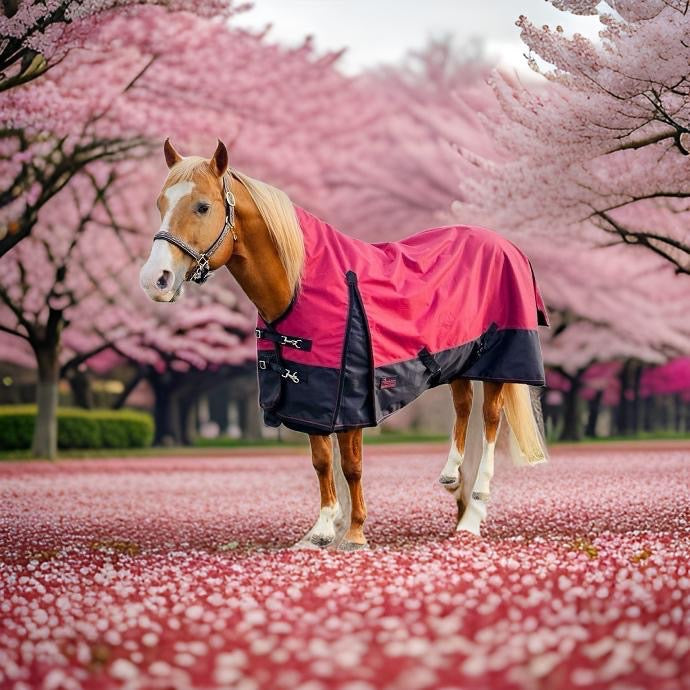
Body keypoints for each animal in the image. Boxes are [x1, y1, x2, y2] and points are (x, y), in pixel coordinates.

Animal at [141, 138, 548, 548]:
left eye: (202, 206)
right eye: (160, 203)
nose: (154, 279)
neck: (300, 283)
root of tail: (506, 244)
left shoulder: (350, 395)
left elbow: (351, 466)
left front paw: (354, 534)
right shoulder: (310, 396)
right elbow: (322, 460)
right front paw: (321, 530)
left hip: (498, 365)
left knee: (491, 421)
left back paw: (473, 513)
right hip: (457, 358)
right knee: (463, 407)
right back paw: (451, 478)